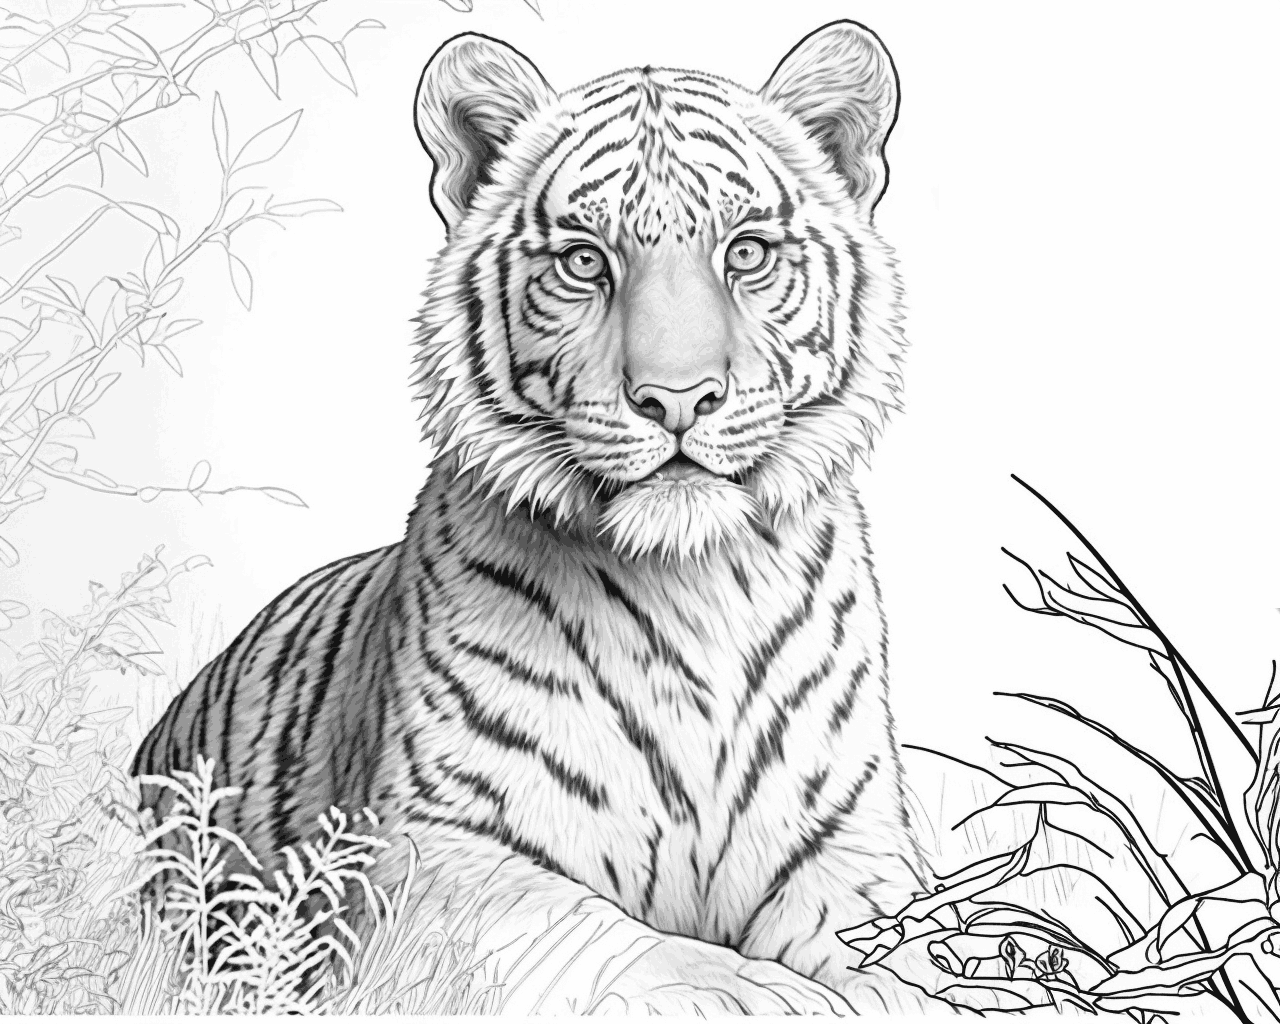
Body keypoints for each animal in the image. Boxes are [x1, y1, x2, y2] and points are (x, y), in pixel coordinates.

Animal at [133, 20, 959, 1016]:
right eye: (584, 261)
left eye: (747, 252)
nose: (677, 399)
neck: (697, 589)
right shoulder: (437, 858)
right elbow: (642, 955)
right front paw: (776, 996)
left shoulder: (848, 841)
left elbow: (905, 948)